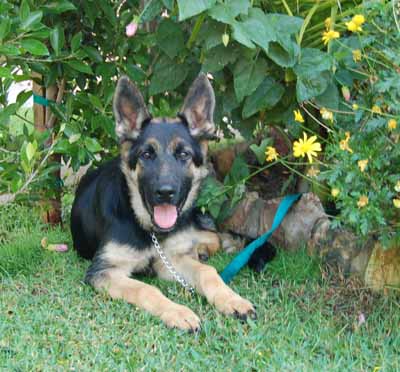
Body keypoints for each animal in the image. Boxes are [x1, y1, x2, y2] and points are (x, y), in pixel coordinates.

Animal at [70, 74, 255, 330]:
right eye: (147, 155)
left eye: (184, 154)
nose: (165, 192)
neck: (150, 231)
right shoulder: (105, 271)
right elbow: (146, 289)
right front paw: (178, 312)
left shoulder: (169, 260)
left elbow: (208, 272)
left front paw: (231, 300)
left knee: (212, 237)